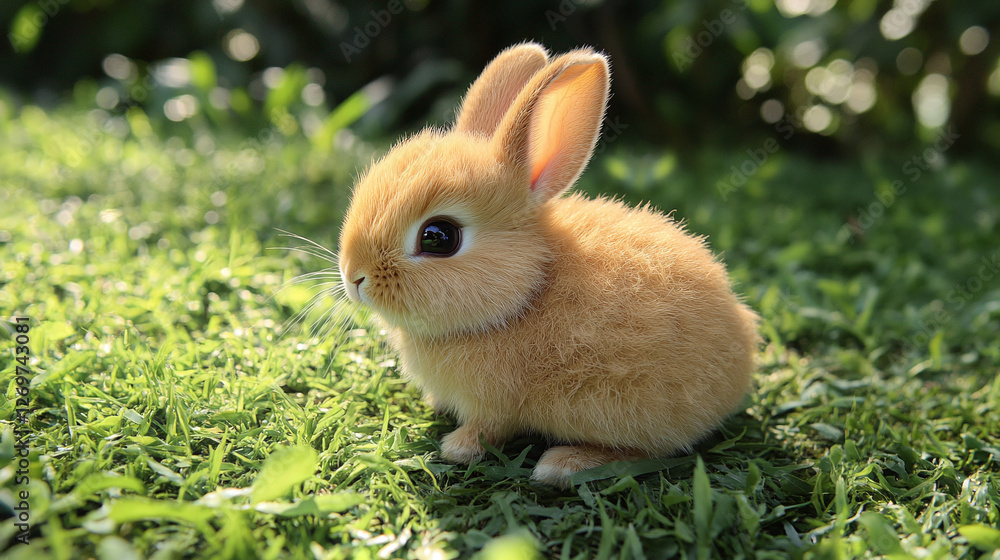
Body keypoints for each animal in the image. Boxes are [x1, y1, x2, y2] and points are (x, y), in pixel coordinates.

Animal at [336, 42, 760, 488]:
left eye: (438, 237)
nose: (354, 276)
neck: (529, 290)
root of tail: (740, 361)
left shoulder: (497, 405)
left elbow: (489, 428)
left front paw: (457, 447)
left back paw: (564, 463)